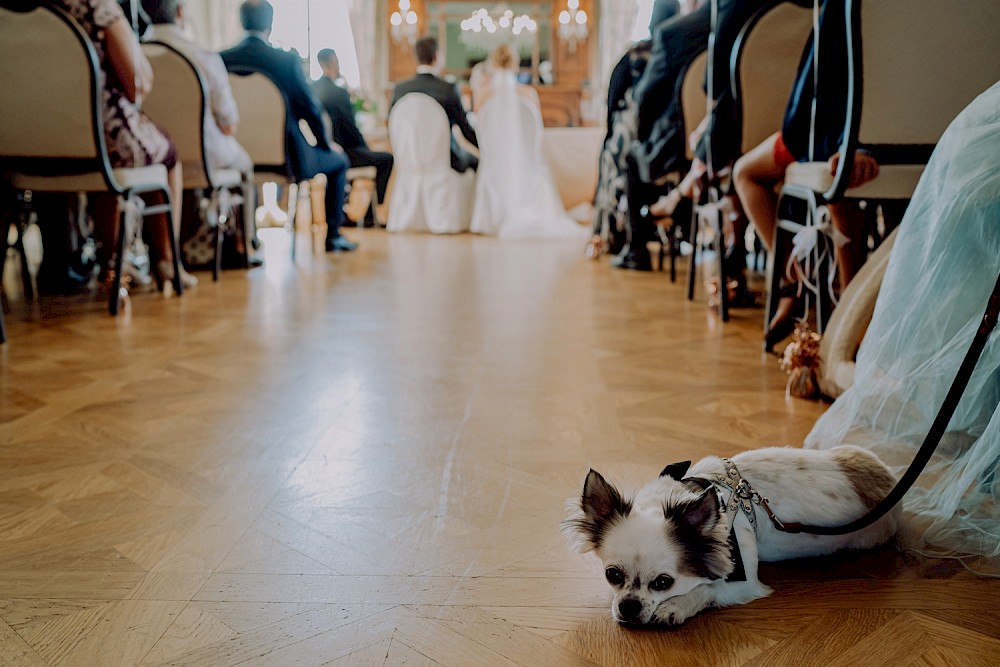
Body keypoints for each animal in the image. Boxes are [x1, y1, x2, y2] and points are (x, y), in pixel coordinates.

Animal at [568, 448, 904, 628]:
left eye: (664, 583)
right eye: (612, 575)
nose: (628, 607)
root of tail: (889, 476)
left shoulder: (745, 582)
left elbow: (708, 588)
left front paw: (676, 606)